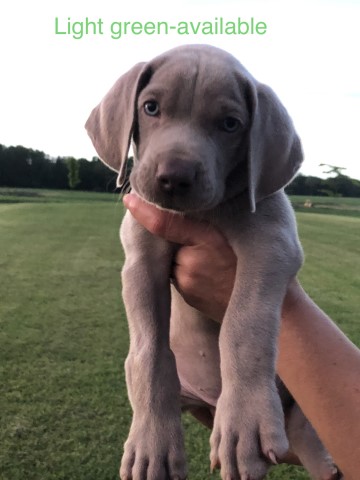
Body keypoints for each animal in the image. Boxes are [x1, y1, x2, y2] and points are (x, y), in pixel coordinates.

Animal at [86, 45, 340, 480]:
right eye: (150, 107)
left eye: (230, 124)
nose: (174, 177)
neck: (202, 214)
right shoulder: (140, 259)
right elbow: (149, 351)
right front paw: (151, 444)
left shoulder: (273, 242)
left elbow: (245, 324)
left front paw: (244, 422)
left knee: (309, 435)